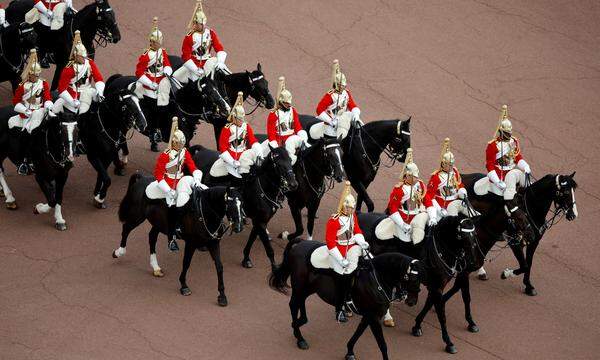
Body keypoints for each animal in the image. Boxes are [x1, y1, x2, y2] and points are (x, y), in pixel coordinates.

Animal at [78, 79, 148, 208]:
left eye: (138, 102)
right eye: (127, 106)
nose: (143, 124)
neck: (103, 125)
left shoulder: (107, 156)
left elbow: (102, 176)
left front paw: (97, 195)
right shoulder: (93, 156)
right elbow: (107, 179)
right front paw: (100, 198)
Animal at [113, 173, 245, 306]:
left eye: (242, 204)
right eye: (231, 205)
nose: (239, 227)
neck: (204, 212)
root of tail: (142, 178)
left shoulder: (213, 243)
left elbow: (219, 266)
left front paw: (222, 295)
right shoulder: (191, 243)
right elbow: (186, 263)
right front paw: (184, 285)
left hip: (158, 223)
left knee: (151, 237)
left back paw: (156, 267)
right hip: (137, 216)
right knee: (126, 229)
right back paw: (119, 252)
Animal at [270, 239, 424, 360]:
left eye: (422, 278)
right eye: (411, 278)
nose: (412, 301)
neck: (376, 278)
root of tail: (301, 243)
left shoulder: (368, 316)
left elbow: (358, 333)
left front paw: (349, 351)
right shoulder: (373, 317)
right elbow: (382, 344)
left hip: (307, 289)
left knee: (299, 304)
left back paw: (300, 325)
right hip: (299, 287)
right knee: (293, 305)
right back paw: (299, 336)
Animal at [358, 212, 480, 352]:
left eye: (475, 234)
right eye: (462, 236)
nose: (473, 262)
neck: (439, 248)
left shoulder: (436, 285)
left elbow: (429, 304)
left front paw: (417, 326)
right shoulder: (436, 287)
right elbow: (441, 314)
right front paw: (449, 342)